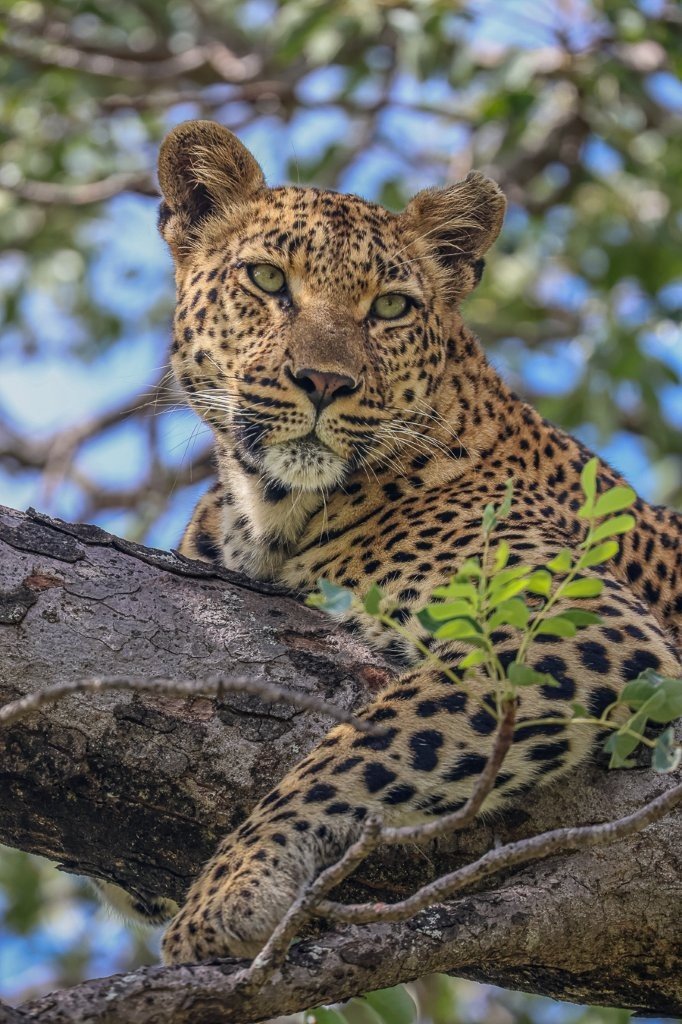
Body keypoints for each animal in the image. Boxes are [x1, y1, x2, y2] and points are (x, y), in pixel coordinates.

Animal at [145, 120, 681, 963]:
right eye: (267, 279)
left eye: (390, 306)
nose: (324, 382)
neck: (269, 516)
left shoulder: (573, 625)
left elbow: (359, 748)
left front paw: (231, 889)